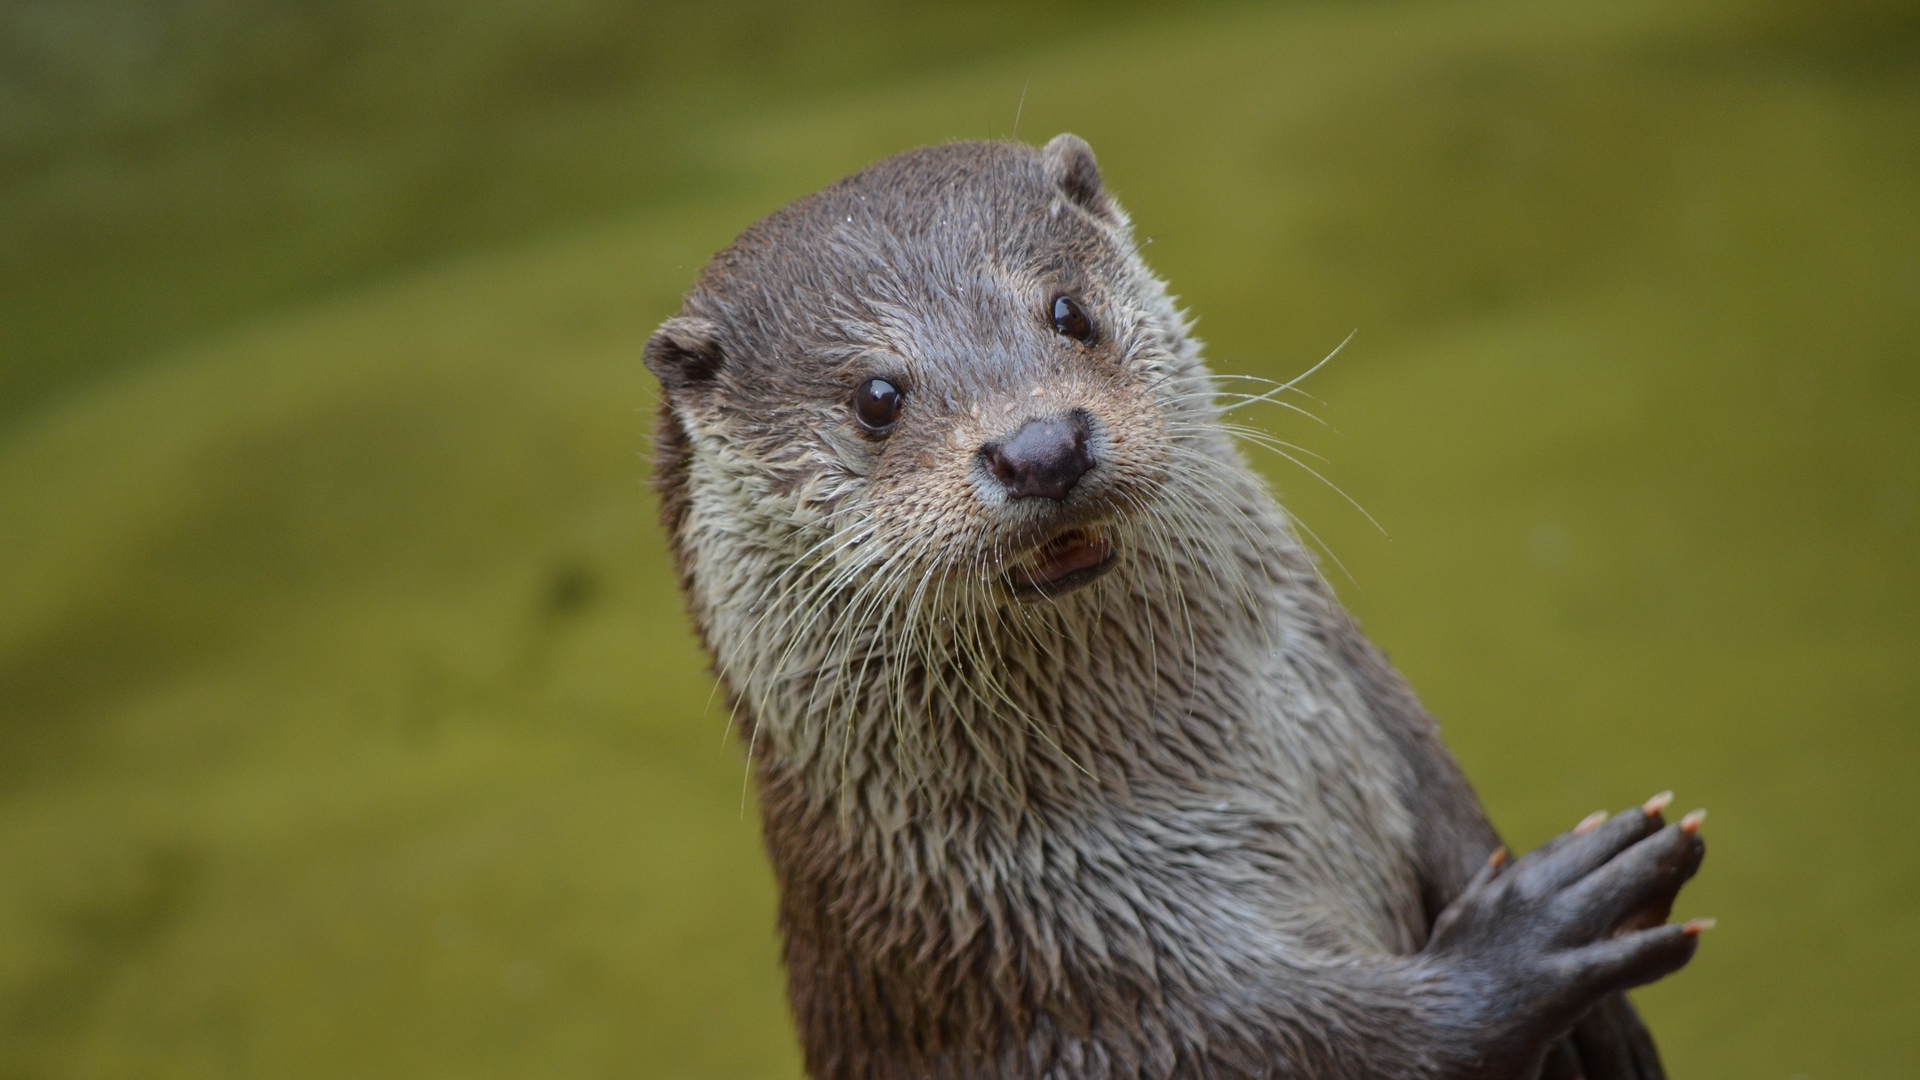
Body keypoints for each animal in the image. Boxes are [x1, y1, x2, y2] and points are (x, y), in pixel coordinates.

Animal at [644, 135, 1707, 1079]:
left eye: (1069, 312)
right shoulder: (1056, 987)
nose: (1039, 446)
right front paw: (1534, 942)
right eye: (875, 397)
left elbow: (1445, 793)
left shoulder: (1371, 701)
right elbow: (1312, 1042)